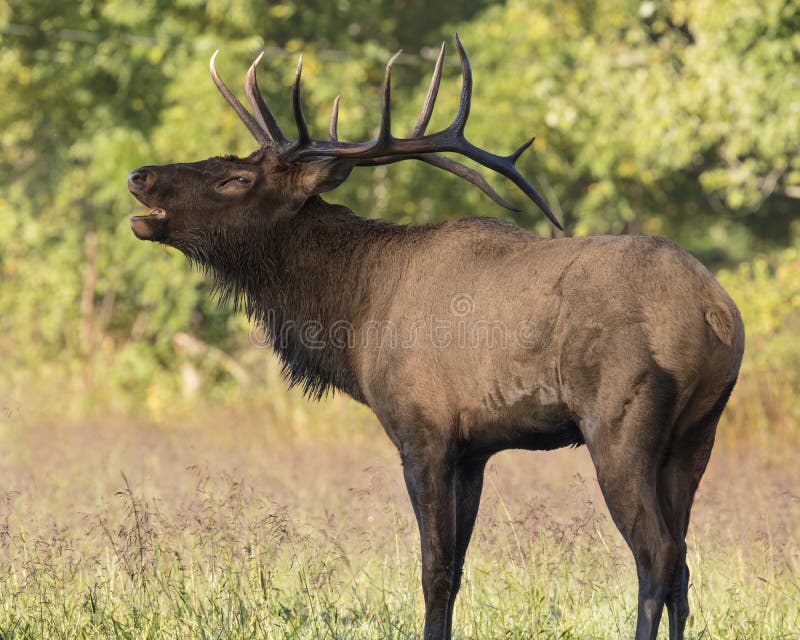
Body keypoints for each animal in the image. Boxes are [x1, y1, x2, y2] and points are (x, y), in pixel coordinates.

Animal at [127, 35, 744, 640]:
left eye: (237, 178)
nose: (139, 176)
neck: (355, 316)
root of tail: (716, 312)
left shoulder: (422, 432)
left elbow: (433, 572)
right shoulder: (473, 450)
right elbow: (458, 568)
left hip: (620, 422)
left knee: (657, 554)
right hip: (698, 433)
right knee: (683, 562)